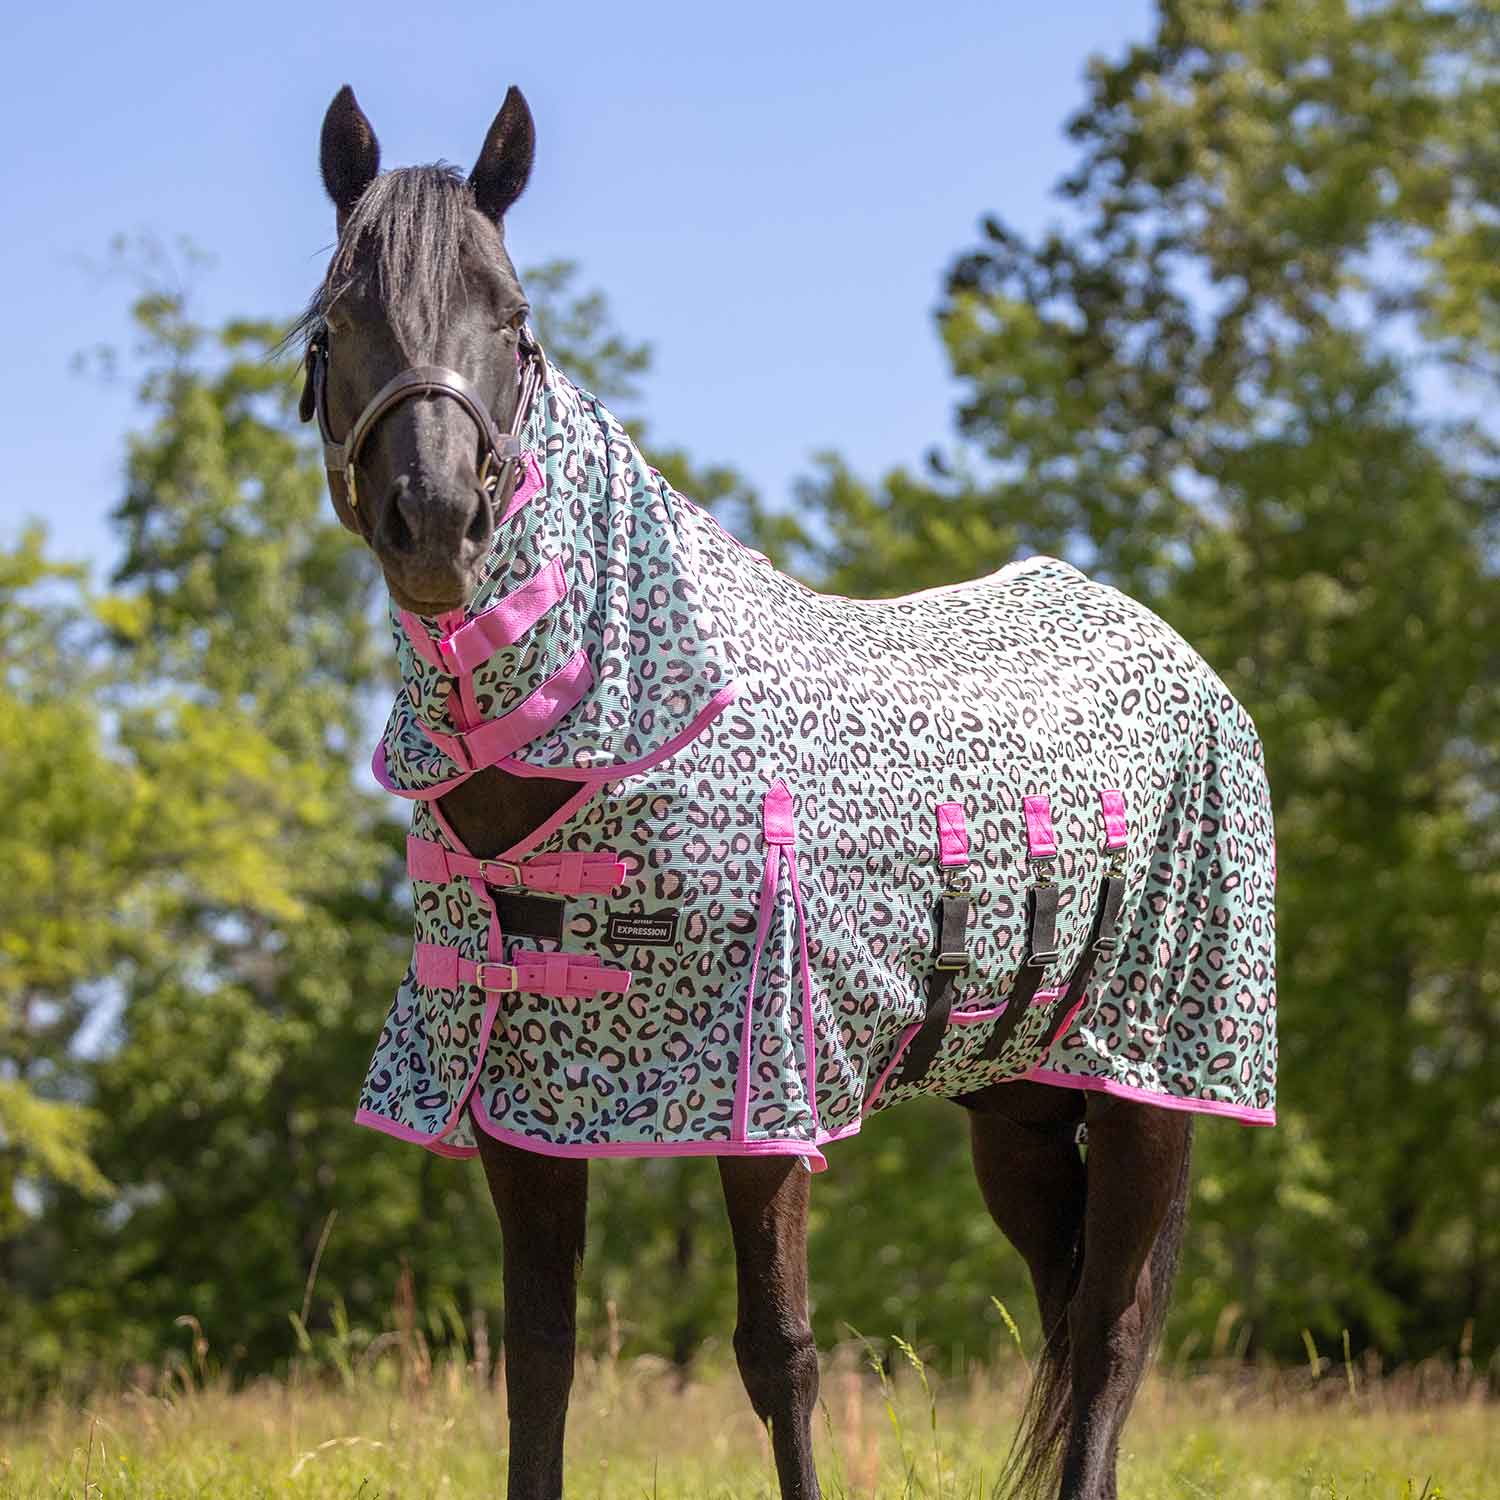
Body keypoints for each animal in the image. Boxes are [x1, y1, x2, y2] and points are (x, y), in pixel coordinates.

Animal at [294, 84, 1276, 1500]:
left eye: (513, 320)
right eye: (335, 320)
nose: (433, 523)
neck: (611, 733)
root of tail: (1186, 663)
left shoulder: (765, 1102)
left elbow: (781, 1355)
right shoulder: (519, 1102)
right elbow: (539, 1360)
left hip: (1153, 1089)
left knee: (1115, 1330)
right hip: (1016, 1103)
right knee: (1069, 1300)